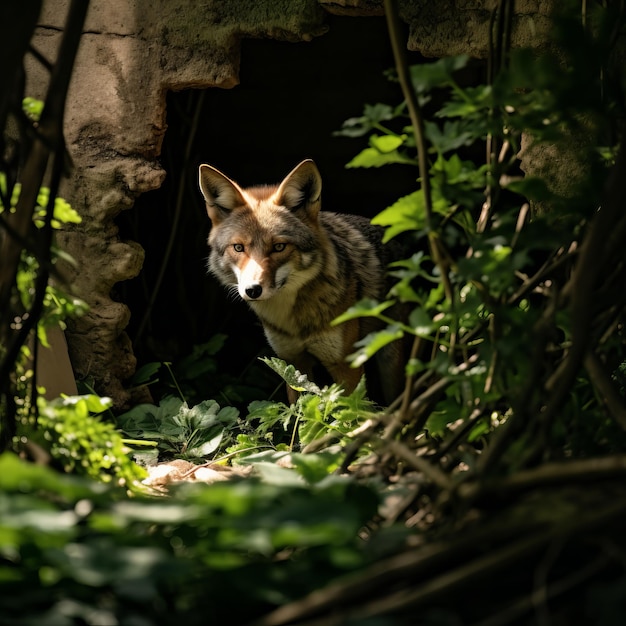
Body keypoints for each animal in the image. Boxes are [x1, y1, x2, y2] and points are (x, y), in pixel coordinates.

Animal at [197, 160, 408, 404]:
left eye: (279, 247)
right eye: (238, 248)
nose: (253, 290)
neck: (292, 321)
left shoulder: (346, 367)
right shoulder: (293, 365)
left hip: (389, 362)